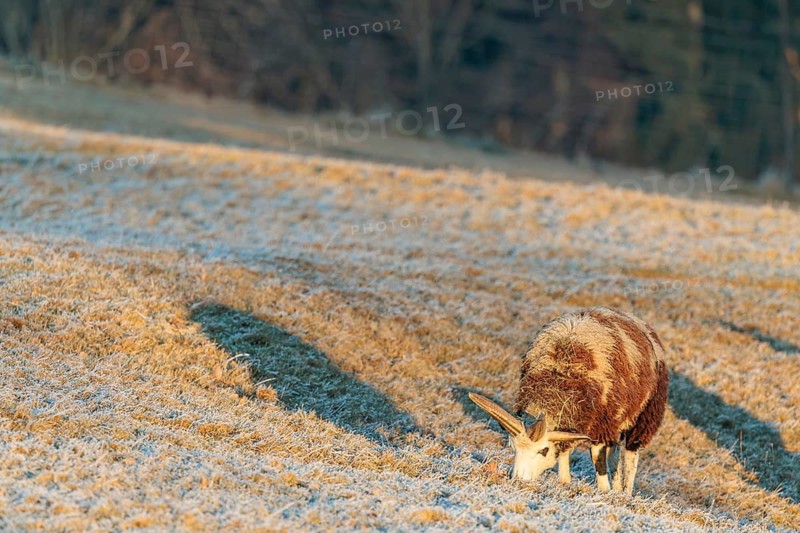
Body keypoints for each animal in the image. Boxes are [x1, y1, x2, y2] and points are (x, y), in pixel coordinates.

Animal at [470, 306, 669, 494]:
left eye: (543, 450)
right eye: (513, 447)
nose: (518, 480)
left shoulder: (601, 422)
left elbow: (598, 459)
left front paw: (604, 491)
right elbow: (565, 451)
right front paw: (564, 481)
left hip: (645, 417)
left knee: (630, 454)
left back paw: (625, 492)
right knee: (615, 454)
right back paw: (618, 486)